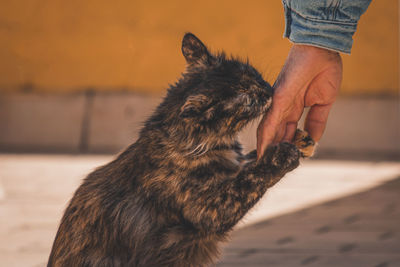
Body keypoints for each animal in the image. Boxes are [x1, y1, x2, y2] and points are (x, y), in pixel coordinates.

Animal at [47, 33, 316, 267]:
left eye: (252, 74)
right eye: (244, 96)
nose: (268, 89)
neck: (210, 143)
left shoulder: (234, 164)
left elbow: (249, 161)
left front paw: (299, 139)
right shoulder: (212, 209)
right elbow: (251, 177)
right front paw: (282, 155)